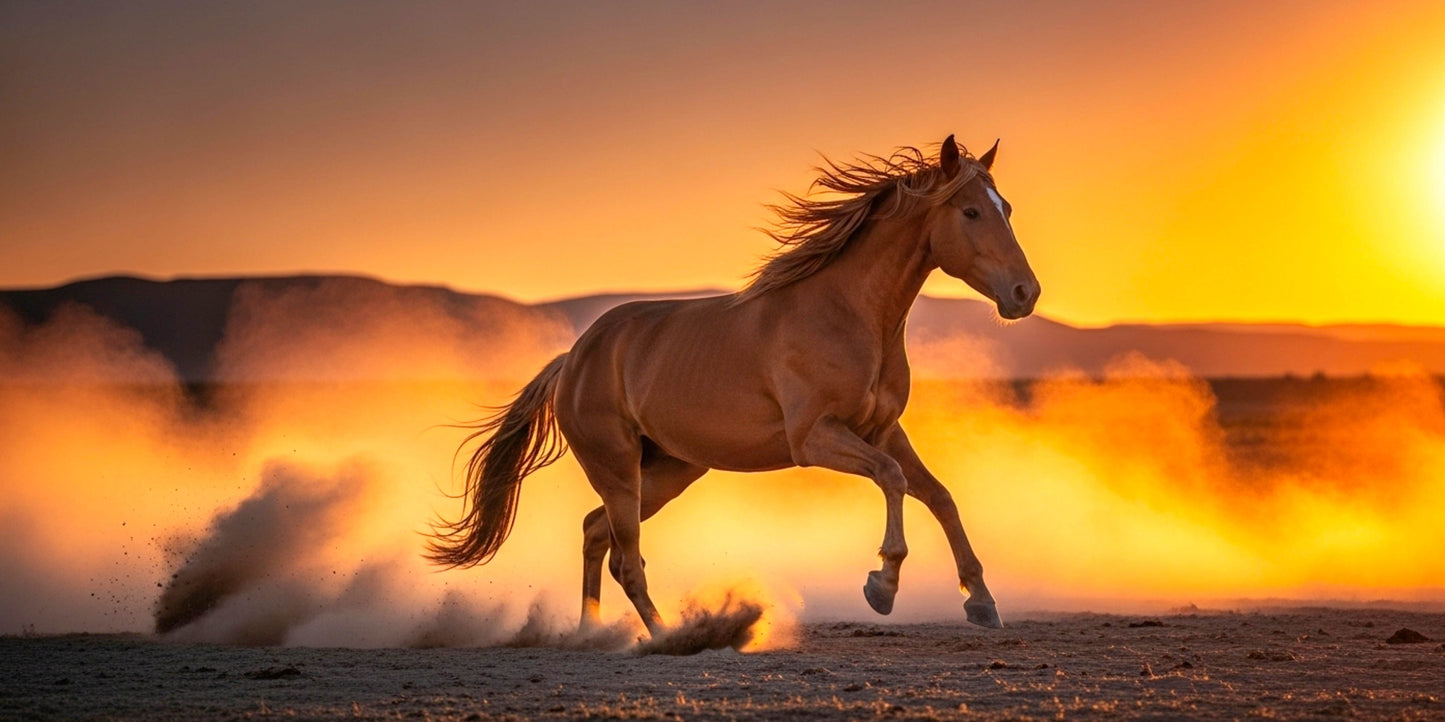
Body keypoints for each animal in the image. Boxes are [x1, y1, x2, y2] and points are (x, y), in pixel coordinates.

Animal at [427, 134, 1040, 633]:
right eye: (970, 211)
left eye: (1006, 208)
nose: (1025, 293)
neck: (847, 313)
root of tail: (573, 360)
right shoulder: (814, 438)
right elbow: (891, 479)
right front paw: (881, 586)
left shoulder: (883, 430)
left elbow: (939, 495)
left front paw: (981, 602)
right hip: (619, 470)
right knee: (626, 558)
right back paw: (668, 638)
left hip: (667, 472)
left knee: (596, 533)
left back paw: (593, 635)